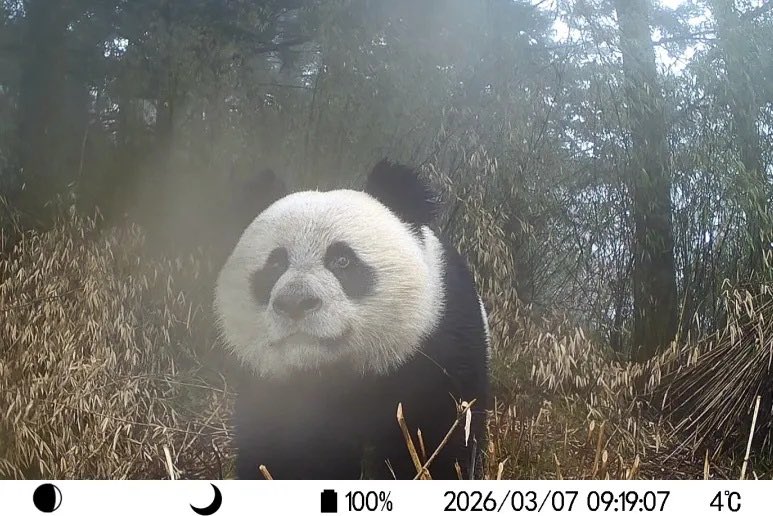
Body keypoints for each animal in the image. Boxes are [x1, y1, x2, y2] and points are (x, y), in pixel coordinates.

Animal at [214, 159, 491, 480]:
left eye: (342, 260)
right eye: (275, 263)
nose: (295, 302)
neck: (332, 373)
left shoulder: (439, 344)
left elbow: (438, 435)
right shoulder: (269, 389)